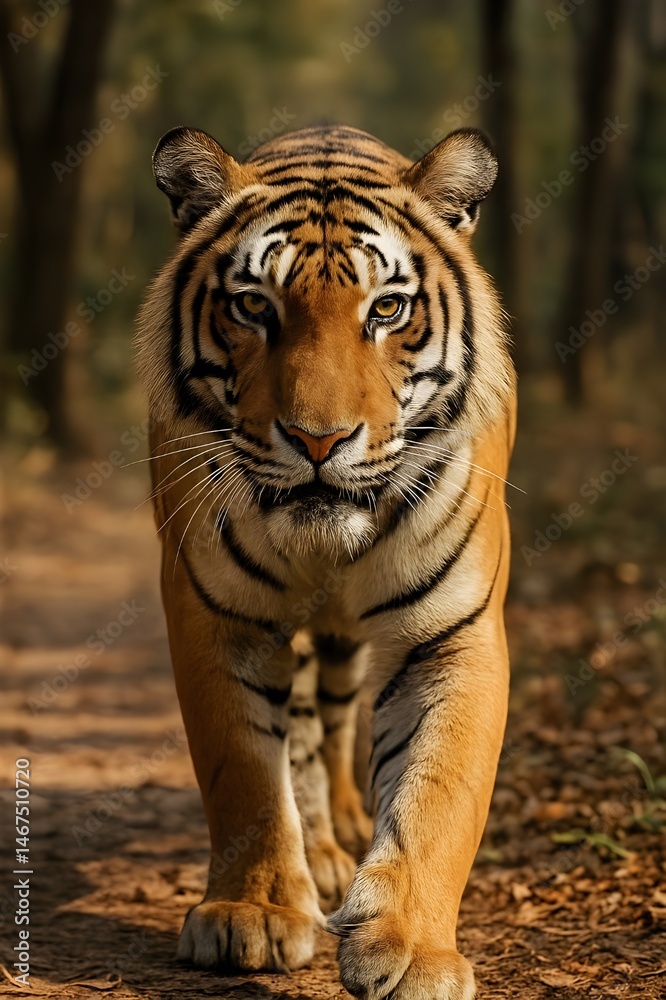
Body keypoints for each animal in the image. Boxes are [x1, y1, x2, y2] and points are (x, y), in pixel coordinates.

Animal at [136, 121, 515, 1000]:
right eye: (253, 305)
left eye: (388, 308)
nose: (319, 441)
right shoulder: (221, 618)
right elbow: (245, 772)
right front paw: (254, 912)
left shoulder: (457, 632)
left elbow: (438, 794)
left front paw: (410, 948)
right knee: (303, 735)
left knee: (337, 718)